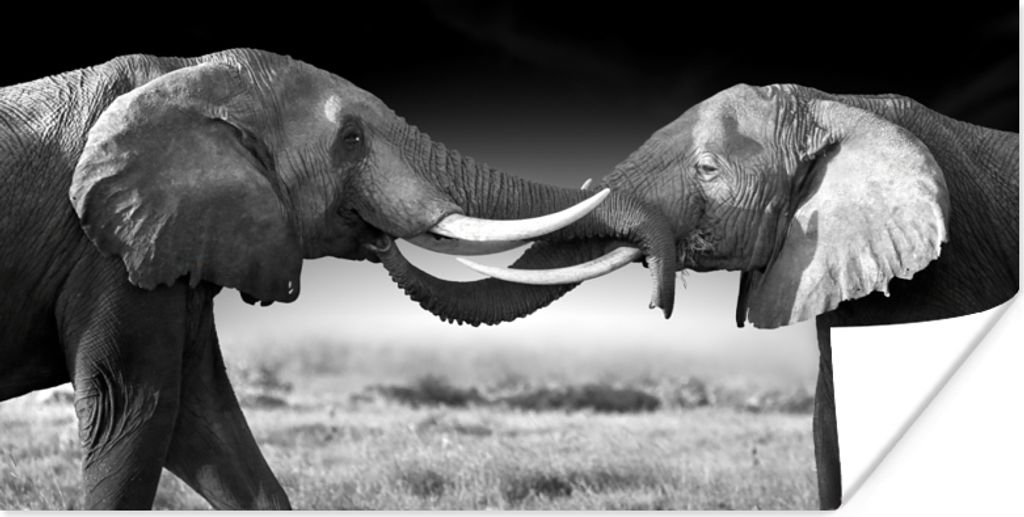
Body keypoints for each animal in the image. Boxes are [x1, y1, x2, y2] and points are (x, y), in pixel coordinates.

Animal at [0, 48, 678, 509]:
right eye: (351, 139)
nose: (660, 304)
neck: (187, 74)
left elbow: (204, 419)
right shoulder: (103, 249)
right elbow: (132, 407)